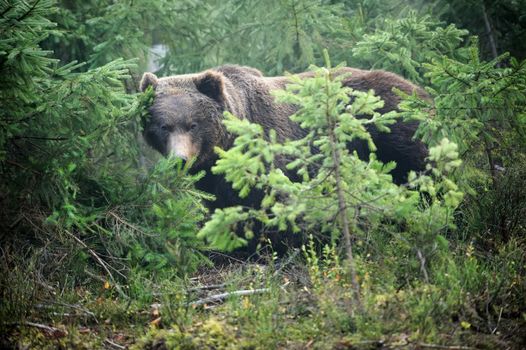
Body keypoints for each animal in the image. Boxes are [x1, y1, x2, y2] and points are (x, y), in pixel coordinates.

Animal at [140, 65, 428, 212]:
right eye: (164, 126)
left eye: (193, 124)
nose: (180, 159)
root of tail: (417, 88)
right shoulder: (214, 178)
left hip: (392, 124)